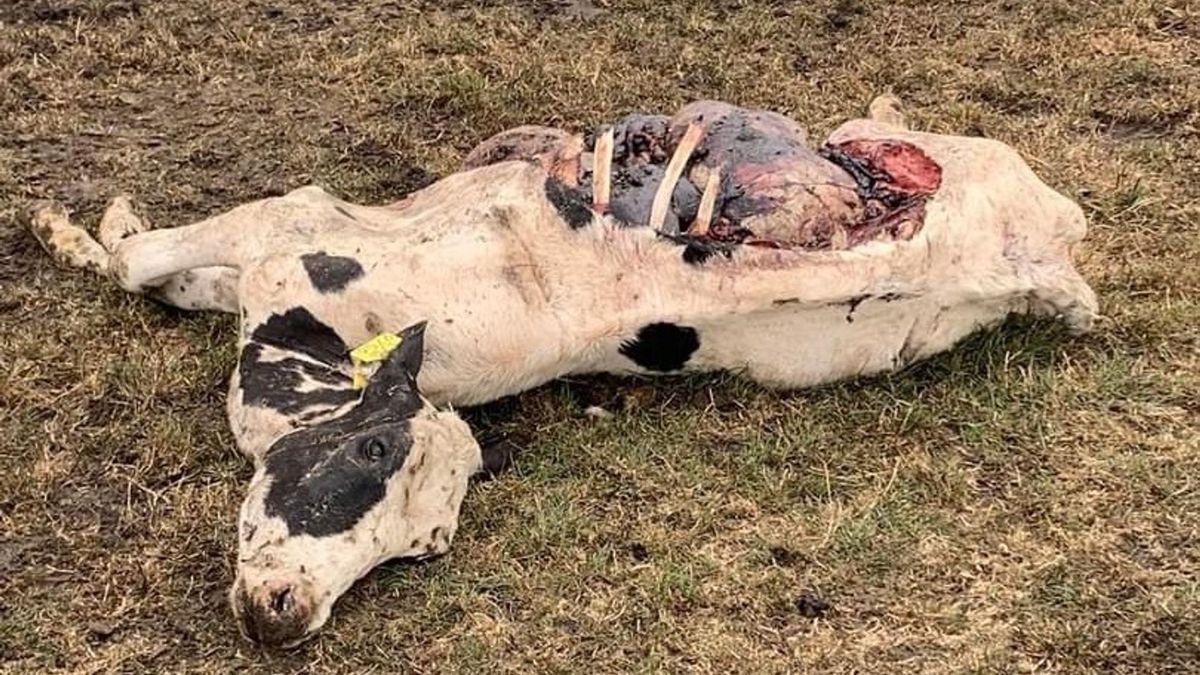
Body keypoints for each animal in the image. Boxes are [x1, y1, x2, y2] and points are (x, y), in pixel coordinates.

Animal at [28, 95, 1097, 648]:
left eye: (422, 549)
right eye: (368, 451)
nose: (289, 616)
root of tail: (1046, 260)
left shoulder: (296, 227)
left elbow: (150, 267)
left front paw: (83, 228)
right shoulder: (289, 228)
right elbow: (158, 268)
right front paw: (87, 224)